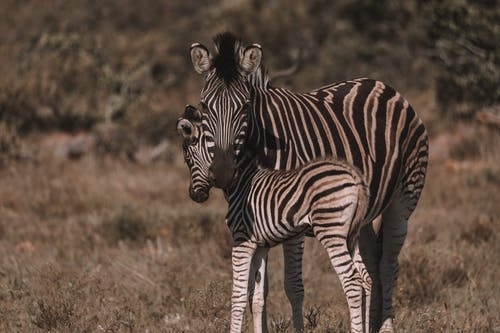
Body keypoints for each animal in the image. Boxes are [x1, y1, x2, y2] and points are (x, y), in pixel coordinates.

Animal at [178, 105, 374, 330]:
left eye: (187, 159)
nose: (195, 195)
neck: (243, 181)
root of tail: (354, 175)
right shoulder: (261, 245)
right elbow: (256, 298)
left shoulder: (242, 240)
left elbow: (237, 296)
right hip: (352, 234)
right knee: (366, 280)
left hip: (331, 231)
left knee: (352, 282)